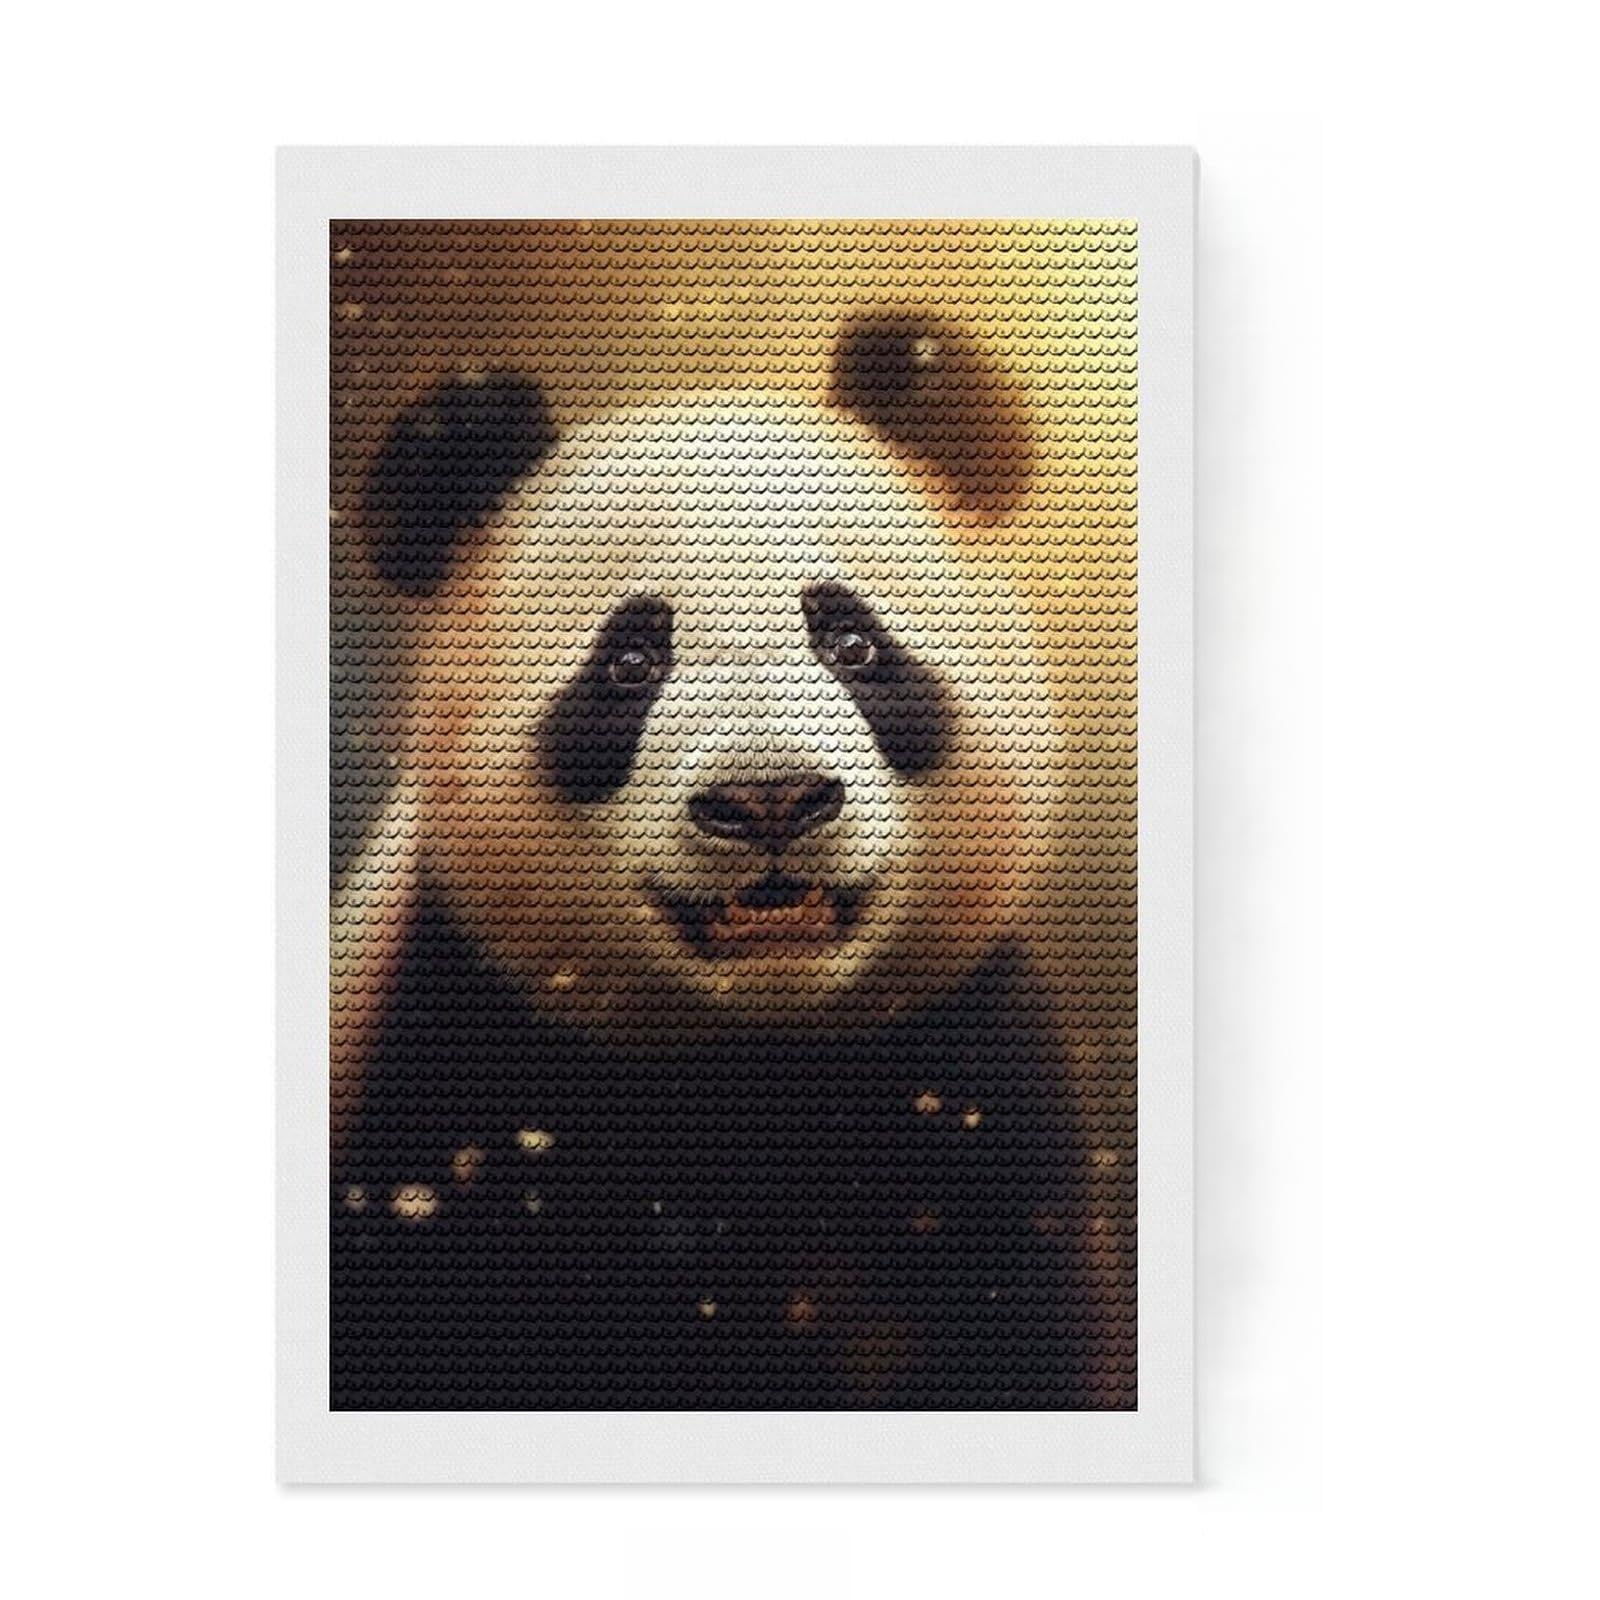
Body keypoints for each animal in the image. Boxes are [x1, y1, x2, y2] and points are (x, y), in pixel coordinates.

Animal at [330, 320, 1134, 1410]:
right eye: (630, 663)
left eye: (851, 641)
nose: (769, 801)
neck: (755, 1058)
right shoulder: (448, 1085)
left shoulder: (974, 1094)